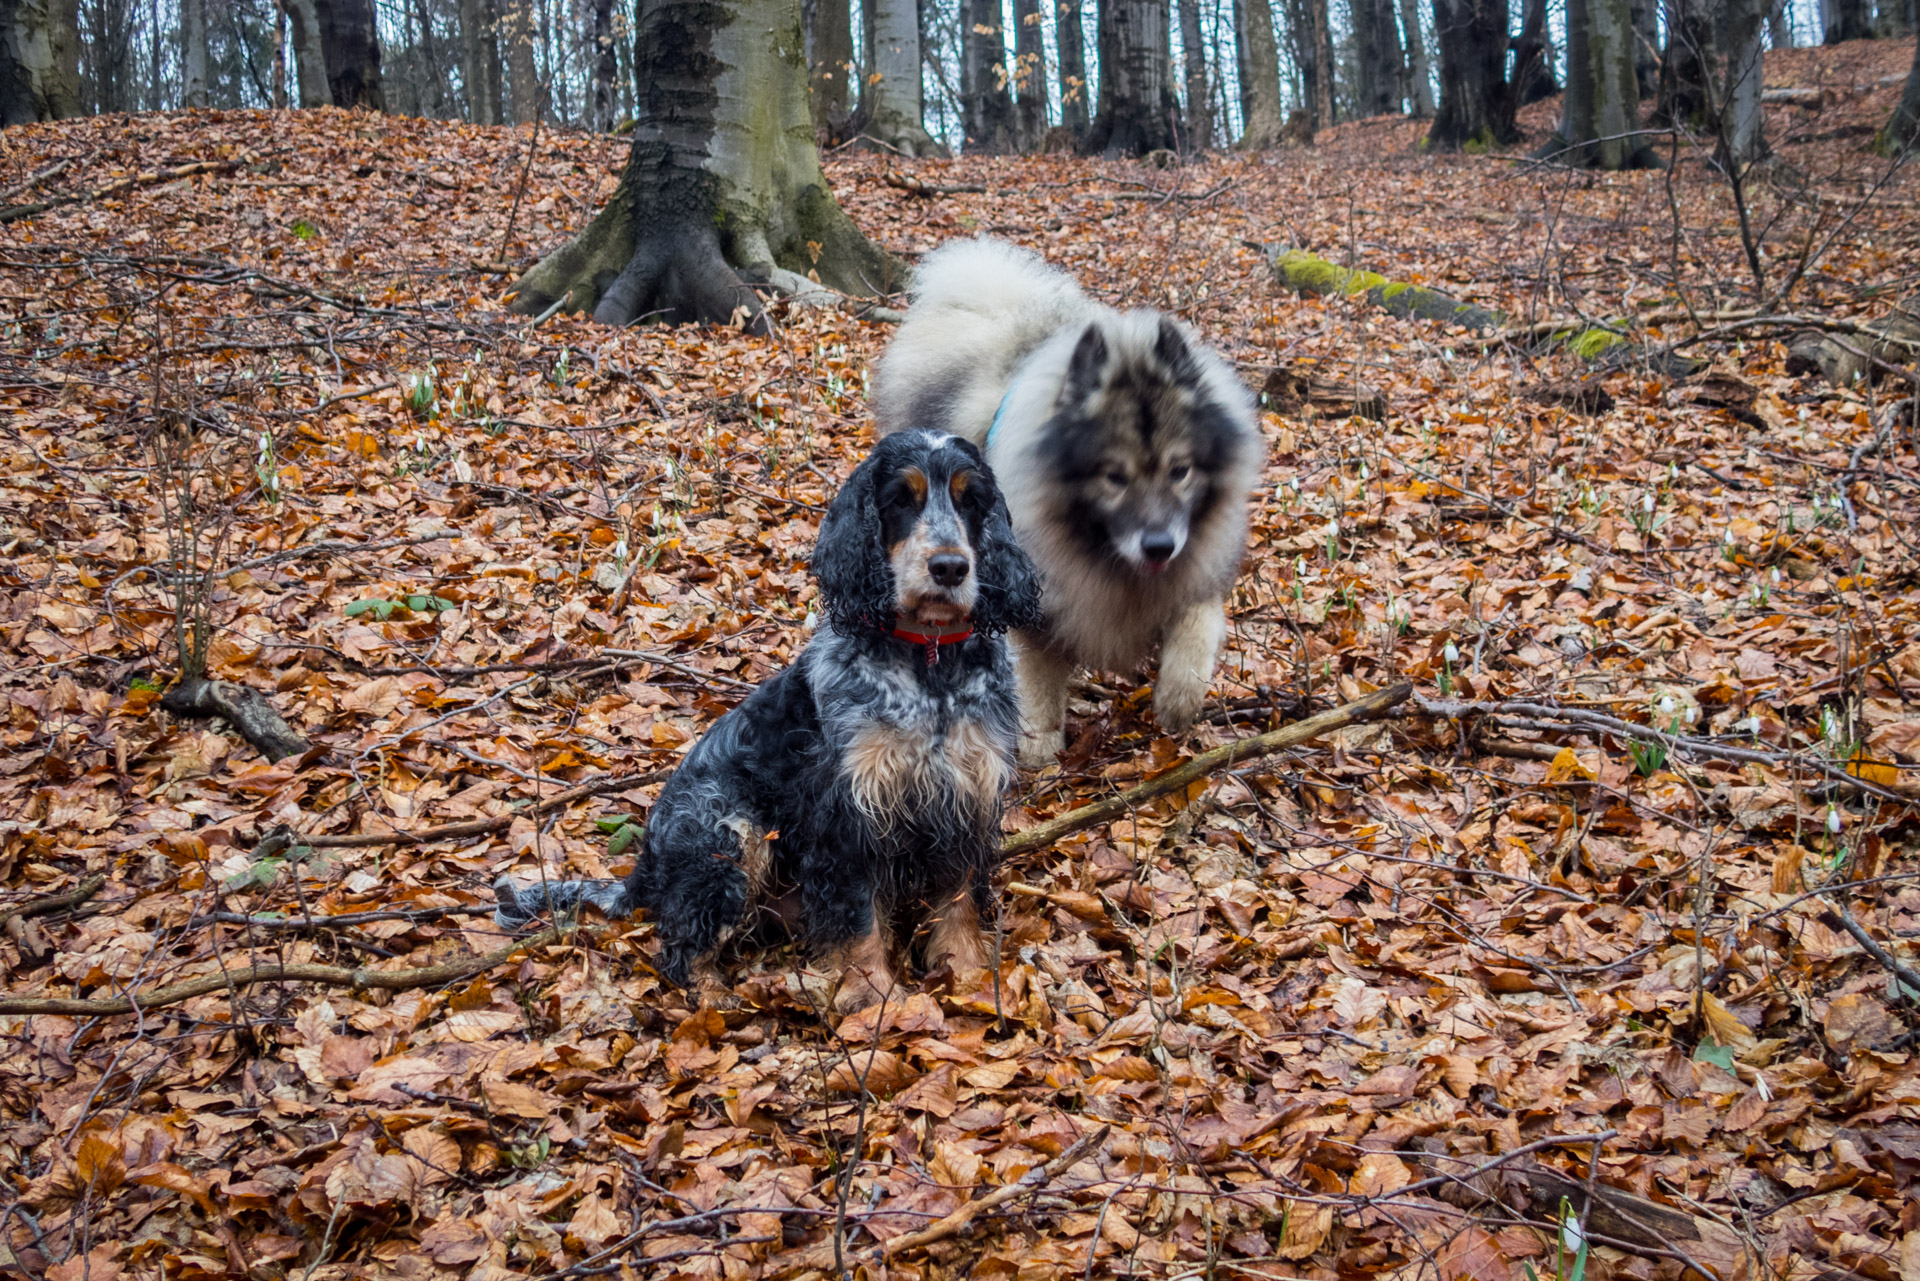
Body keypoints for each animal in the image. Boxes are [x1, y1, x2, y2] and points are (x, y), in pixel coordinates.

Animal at [871, 238, 1259, 760]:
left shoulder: (1196, 573)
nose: (1159, 546)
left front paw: (1178, 701)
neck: (1107, 558)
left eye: (1180, 471)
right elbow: (1036, 684)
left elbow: (1196, 627)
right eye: (1114, 477)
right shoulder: (1036, 606)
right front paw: (1039, 747)